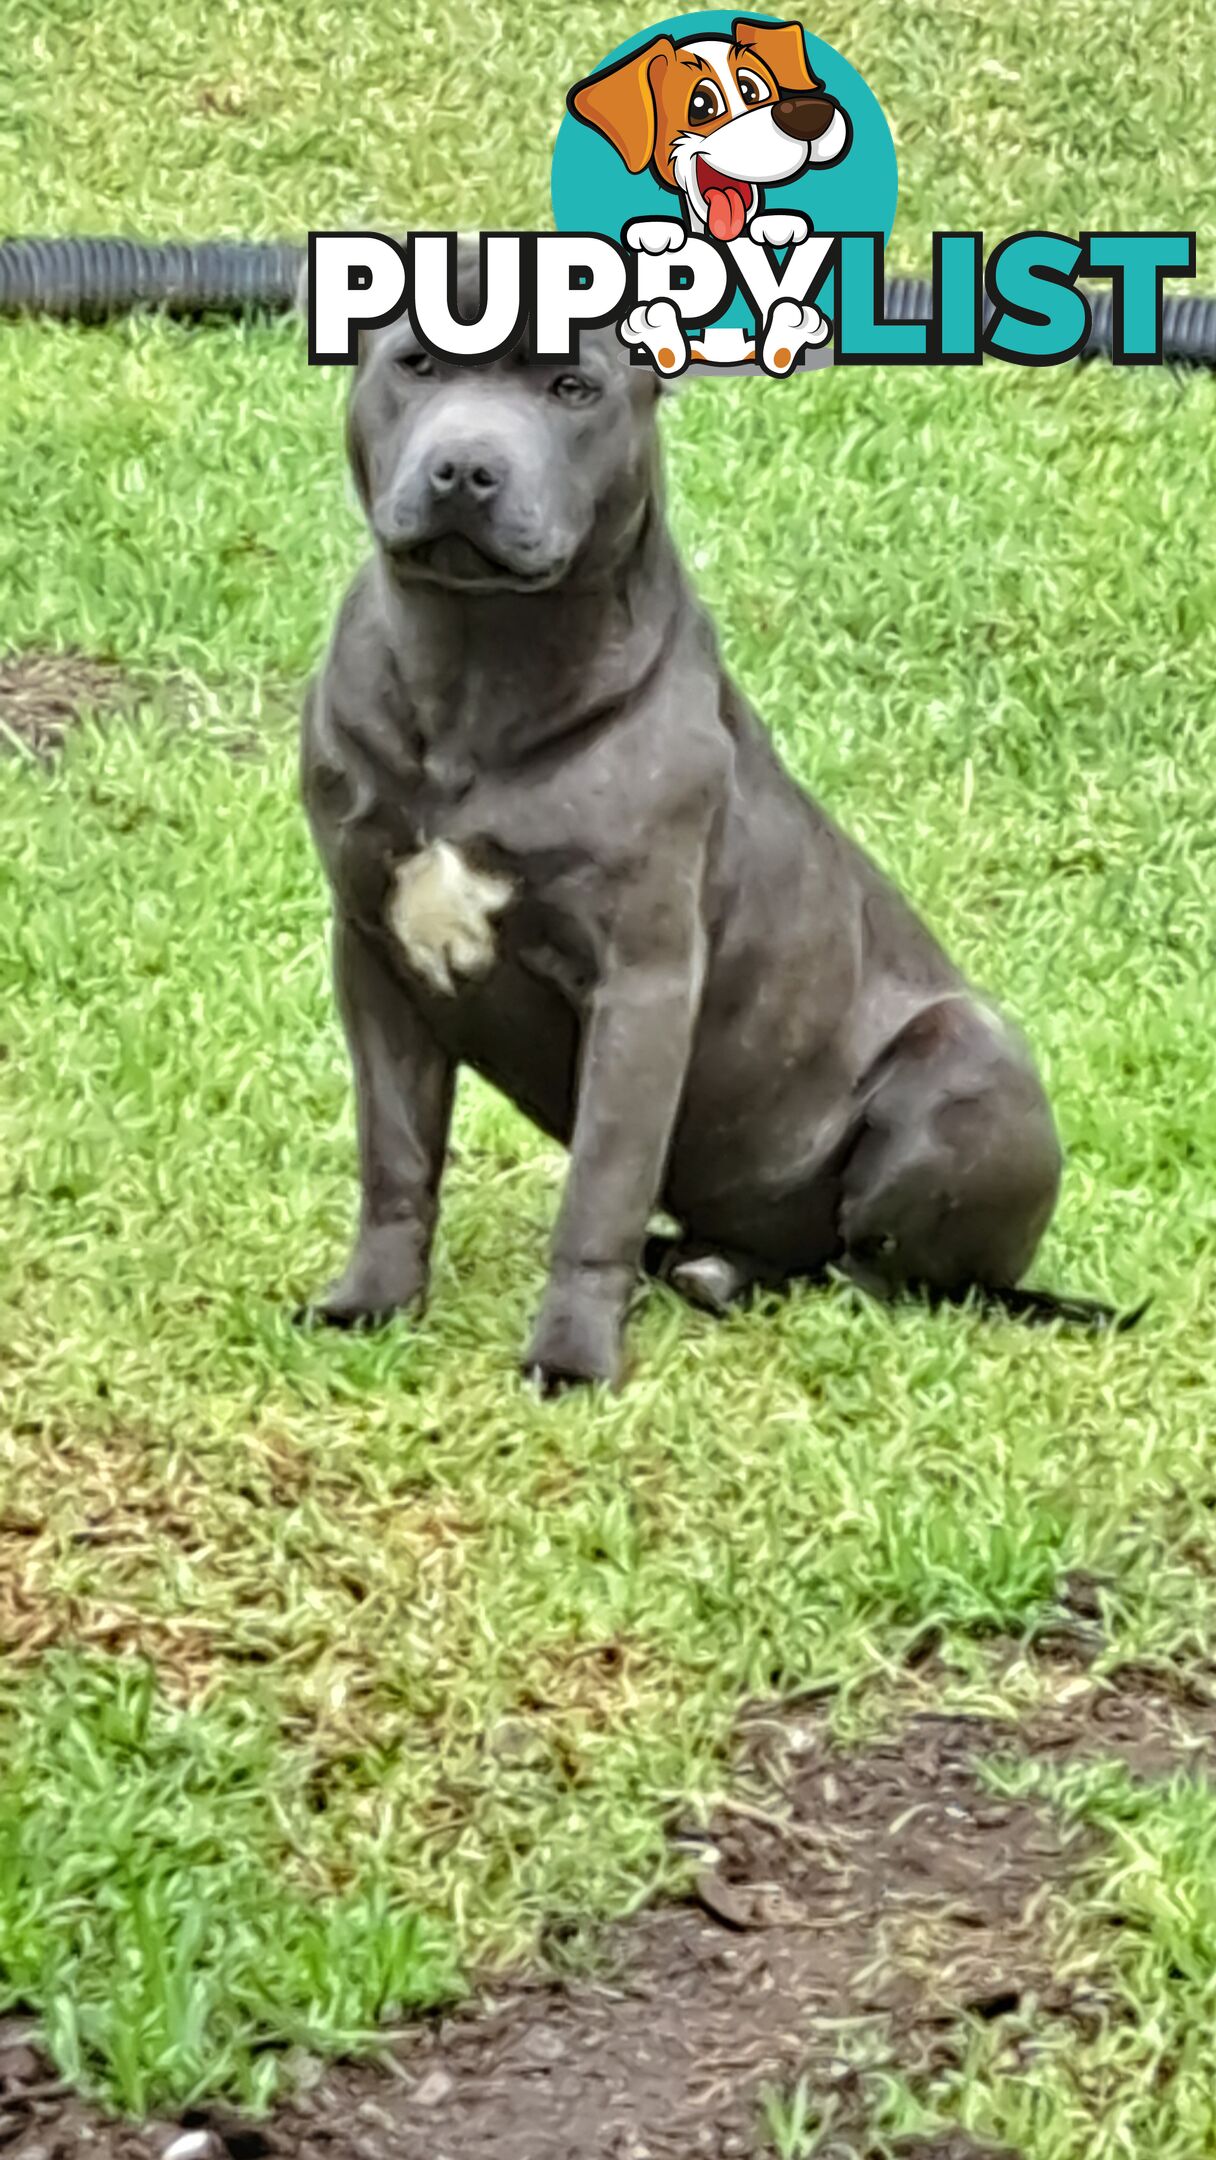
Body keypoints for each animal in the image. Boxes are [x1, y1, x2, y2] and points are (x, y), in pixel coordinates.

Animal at [298, 252, 1114, 1391]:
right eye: (415, 365)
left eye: (574, 389)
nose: (466, 466)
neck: (476, 666)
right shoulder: (376, 951)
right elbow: (396, 1155)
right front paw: (371, 1303)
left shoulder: (641, 984)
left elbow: (599, 1186)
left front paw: (572, 1357)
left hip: (968, 1061)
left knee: (881, 1275)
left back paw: (727, 1278)